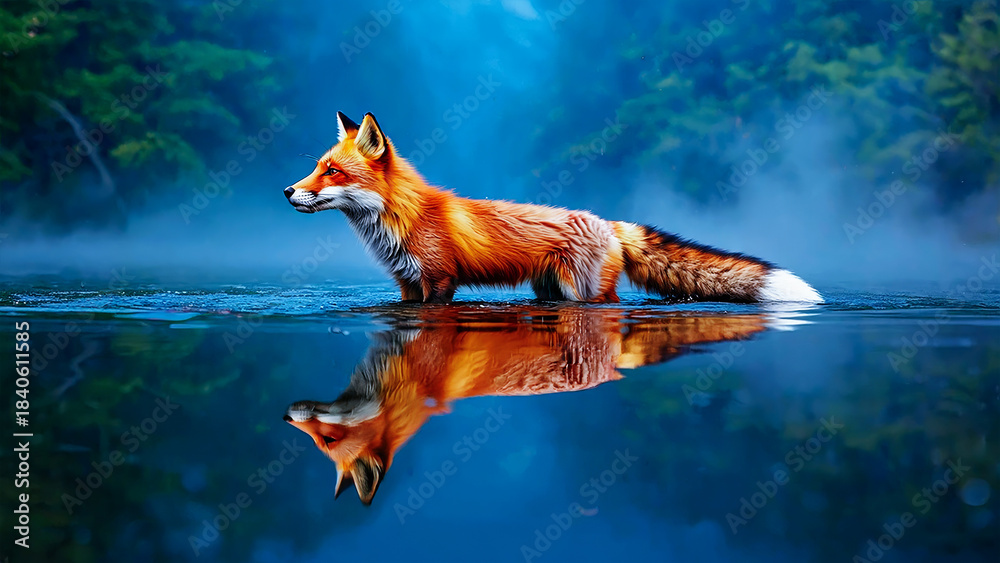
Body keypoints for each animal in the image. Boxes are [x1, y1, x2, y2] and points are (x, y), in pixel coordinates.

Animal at [283, 112, 822, 304]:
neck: (403, 219)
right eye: (318, 167)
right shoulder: (407, 284)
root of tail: (609, 223)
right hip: (548, 291)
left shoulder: (439, 282)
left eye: (333, 172)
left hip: (583, 294)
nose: (288, 191)